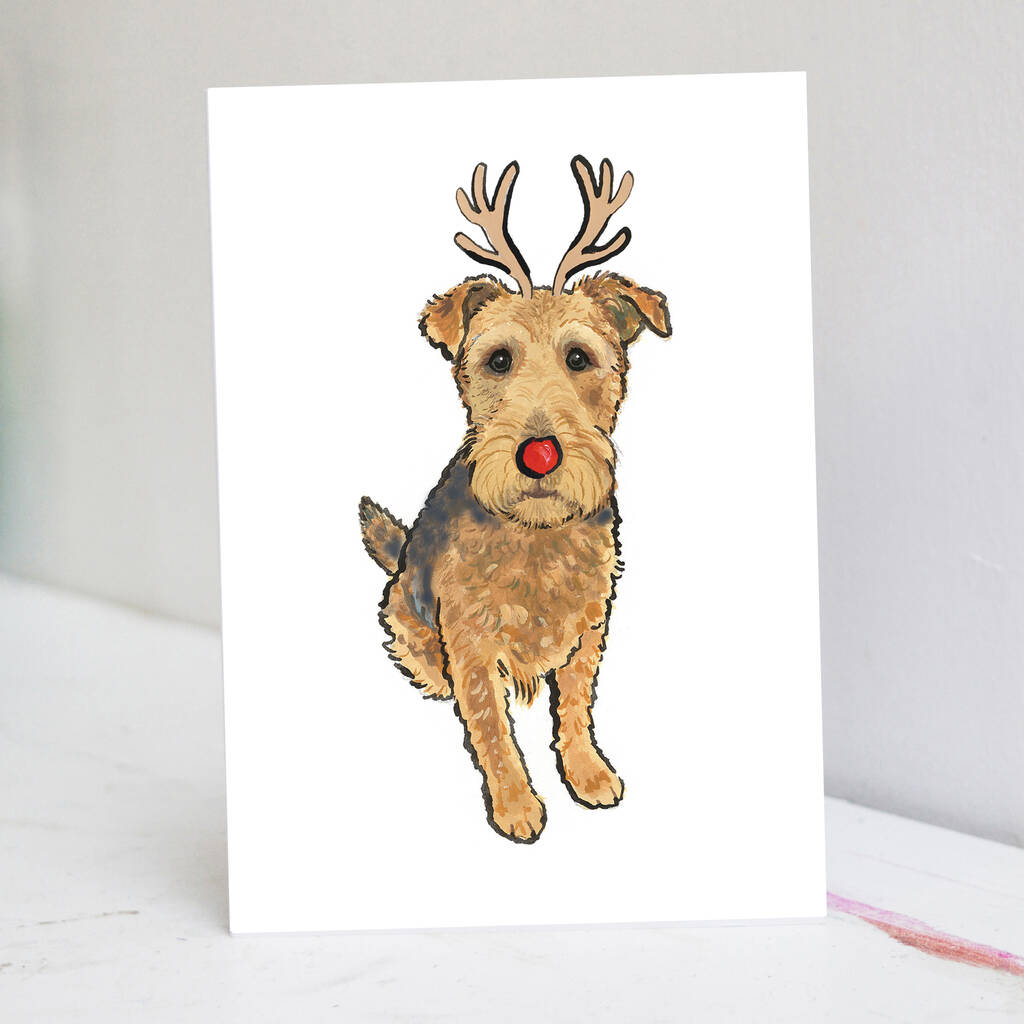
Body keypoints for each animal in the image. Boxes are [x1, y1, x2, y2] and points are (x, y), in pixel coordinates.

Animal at [359, 156, 671, 842]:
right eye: (498, 359)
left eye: (579, 357)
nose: (539, 455)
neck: (536, 537)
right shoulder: (471, 641)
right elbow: (493, 730)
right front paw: (516, 804)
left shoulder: (589, 625)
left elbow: (576, 709)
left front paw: (588, 774)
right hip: (404, 612)